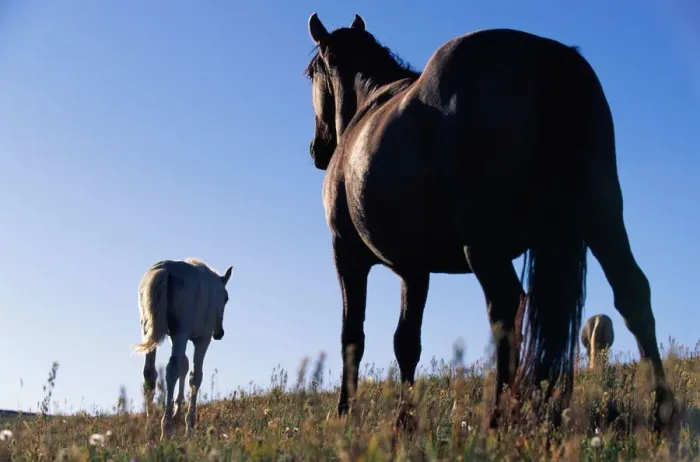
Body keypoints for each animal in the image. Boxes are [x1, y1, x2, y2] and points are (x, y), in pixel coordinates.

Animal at [132, 257, 233, 440]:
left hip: (148, 331)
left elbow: (183, 366)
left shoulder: (176, 337)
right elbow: (195, 376)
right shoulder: (201, 339)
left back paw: (149, 430)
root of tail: (165, 269)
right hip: (181, 332)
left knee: (150, 374)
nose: (219, 333)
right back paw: (166, 429)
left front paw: (178, 413)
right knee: (171, 370)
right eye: (226, 299)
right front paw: (189, 424)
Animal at [303, 13, 676, 433]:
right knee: (632, 293)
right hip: (604, 218)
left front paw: (344, 414)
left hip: (485, 246)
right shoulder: (415, 271)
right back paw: (663, 411)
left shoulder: (347, 255)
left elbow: (353, 336)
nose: (318, 150)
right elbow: (407, 343)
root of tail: (548, 56)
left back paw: (499, 416)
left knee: (505, 308)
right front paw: (405, 420)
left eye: (312, 72)